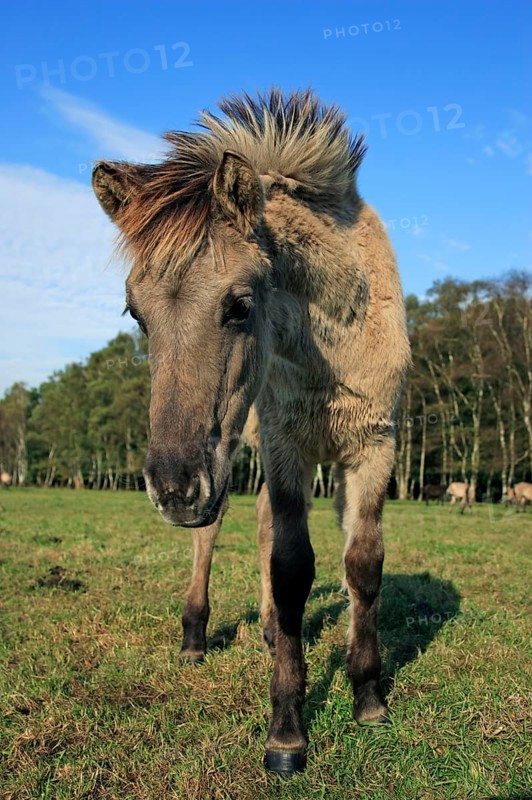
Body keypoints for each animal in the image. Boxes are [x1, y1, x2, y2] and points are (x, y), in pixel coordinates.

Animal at [92, 89, 411, 775]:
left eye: (239, 304)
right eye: (137, 314)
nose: (172, 488)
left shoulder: (373, 446)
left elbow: (362, 563)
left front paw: (369, 698)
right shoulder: (286, 445)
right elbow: (291, 567)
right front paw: (286, 732)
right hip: (237, 451)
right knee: (215, 532)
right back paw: (194, 635)